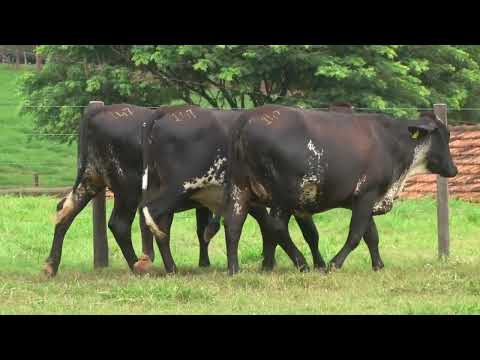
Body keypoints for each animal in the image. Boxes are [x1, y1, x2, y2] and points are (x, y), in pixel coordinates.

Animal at [44, 102, 218, 278]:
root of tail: (100, 110)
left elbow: (201, 229)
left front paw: (204, 263)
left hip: (91, 179)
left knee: (66, 210)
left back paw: (51, 265)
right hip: (128, 190)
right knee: (119, 224)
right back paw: (139, 265)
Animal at [141, 104, 324, 272]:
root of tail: (167, 111)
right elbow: (305, 231)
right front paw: (317, 264)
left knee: (157, 224)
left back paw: (165, 266)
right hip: (178, 189)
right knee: (153, 218)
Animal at [222, 105, 458, 274]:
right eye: (444, 135)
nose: (454, 169)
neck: (392, 142)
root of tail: (247, 118)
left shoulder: (364, 199)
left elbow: (371, 235)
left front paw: (378, 265)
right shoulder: (367, 195)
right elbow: (356, 234)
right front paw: (334, 264)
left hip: (240, 188)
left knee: (234, 224)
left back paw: (236, 269)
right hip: (284, 194)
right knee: (277, 226)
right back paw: (301, 263)